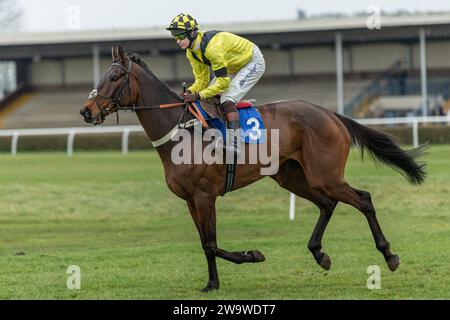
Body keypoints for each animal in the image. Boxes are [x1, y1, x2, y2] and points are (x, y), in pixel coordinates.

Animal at [80, 45, 426, 292]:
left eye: (114, 78)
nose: (86, 111)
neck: (181, 129)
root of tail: (331, 114)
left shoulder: (205, 195)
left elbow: (211, 243)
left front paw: (251, 256)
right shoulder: (191, 200)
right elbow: (206, 245)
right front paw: (212, 283)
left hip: (325, 175)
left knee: (363, 199)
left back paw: (389, 255)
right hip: (293, 177)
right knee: (328, 204)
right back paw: (320, 254)